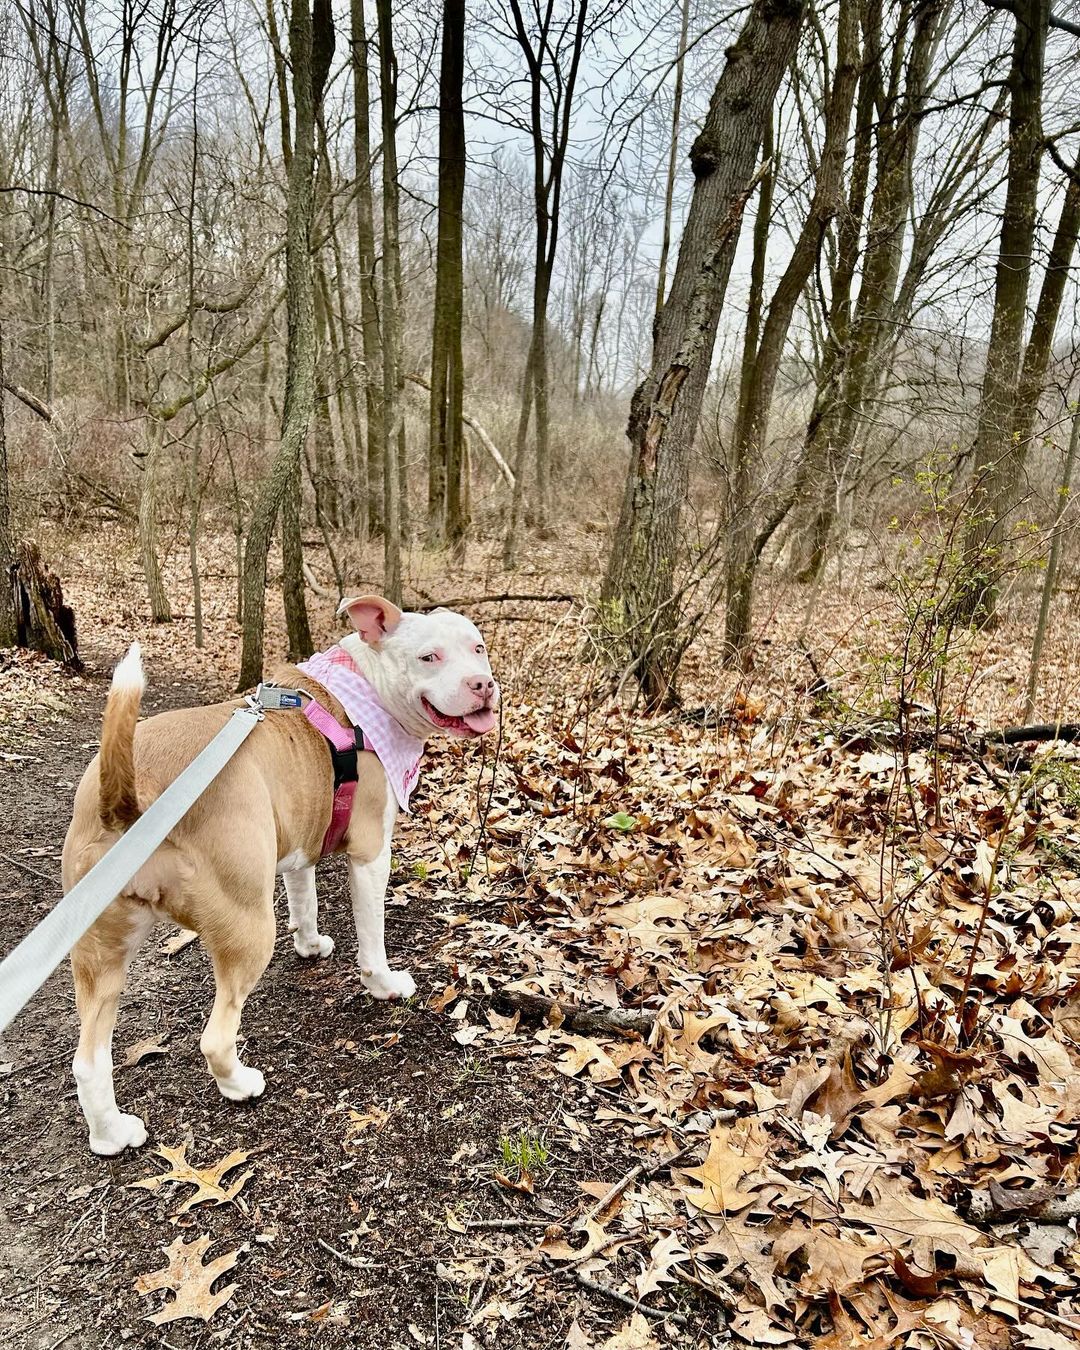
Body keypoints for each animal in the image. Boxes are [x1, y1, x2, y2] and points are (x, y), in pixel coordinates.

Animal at [60, 596, 496, 1155]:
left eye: (477, 648)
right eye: (429, 657)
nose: (482, 683)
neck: (366, 686)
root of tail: (132, 798)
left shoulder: (299, 841)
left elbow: (305, 899)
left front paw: (310, 946)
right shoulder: (371, 853)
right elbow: (372, 936)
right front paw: (384, 985)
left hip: (99, 951)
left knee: (88, 1060)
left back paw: (112, 1133)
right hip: (247, 926)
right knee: (215, 1036)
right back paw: (241, 1085)